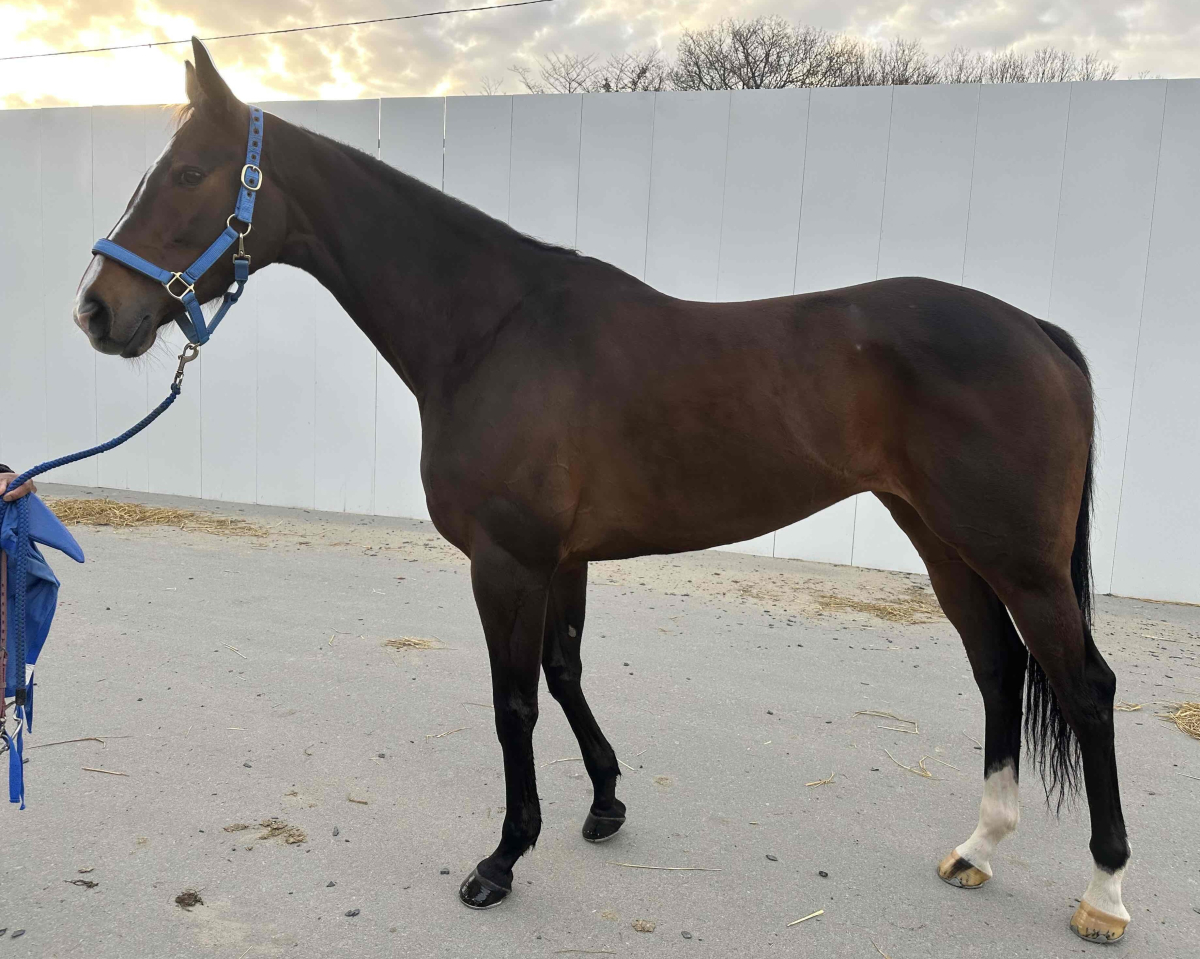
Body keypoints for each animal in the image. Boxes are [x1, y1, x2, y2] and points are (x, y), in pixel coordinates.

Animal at [72, 38, 1131, 942]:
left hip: (1017, 557)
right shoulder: (565, 557)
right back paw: (978, 847)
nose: (96, 310)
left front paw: (502, 859)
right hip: (945, 541)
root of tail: (1036, 332)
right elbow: (566, 671)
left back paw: (1105, 892)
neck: (493, 329)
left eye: (189, 173)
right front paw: (607, 802)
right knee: (998, 668)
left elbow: (513, 701)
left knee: (1082, 683)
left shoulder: (508, 560)